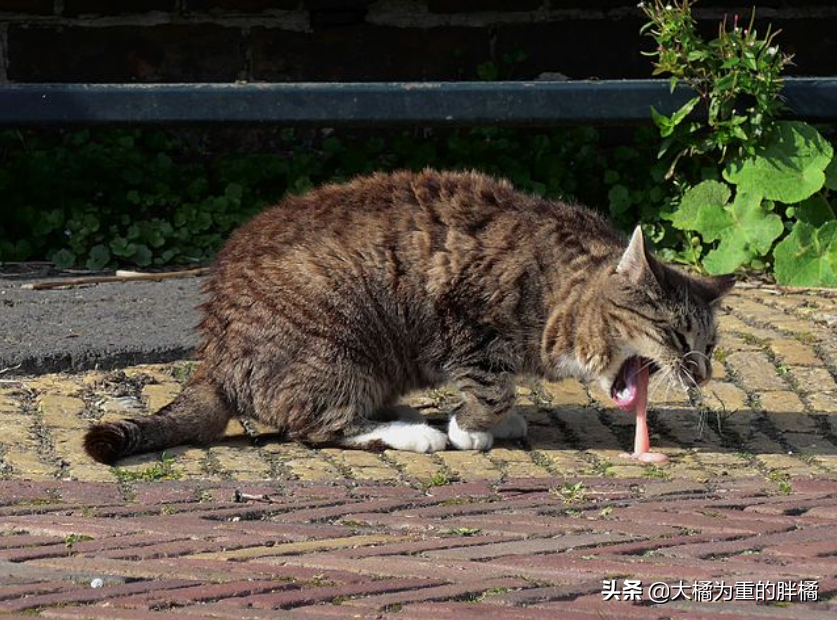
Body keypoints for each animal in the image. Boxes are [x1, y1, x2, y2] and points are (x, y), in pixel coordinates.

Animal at [85, 167, 736, 462]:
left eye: (709, 345)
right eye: (676, 333)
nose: (701, 372)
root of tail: (214, 357)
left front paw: (493, 421)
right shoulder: (467, 319)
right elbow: (491, 385)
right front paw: (473, 427)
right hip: (336, 344)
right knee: (315, 426)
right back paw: (414, 430)